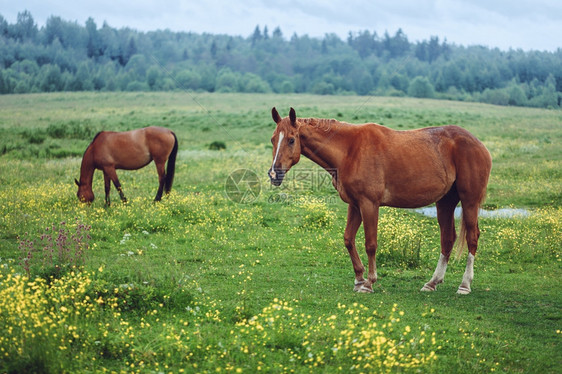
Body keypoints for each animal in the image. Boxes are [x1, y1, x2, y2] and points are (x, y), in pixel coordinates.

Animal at [268, 106, 490, 294]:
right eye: (272, 139)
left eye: (291, 140)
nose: (274, 174)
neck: (350, 150)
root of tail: (479, 145)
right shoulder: (355, 205)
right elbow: (348, 239)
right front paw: (359, 279)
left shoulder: (369, 205)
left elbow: (370, 243)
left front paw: (369, 282)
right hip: (445, 202)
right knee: (447, 239)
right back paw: (432, 282)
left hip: (469, 202)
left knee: (472, 237)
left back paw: (464, 285)